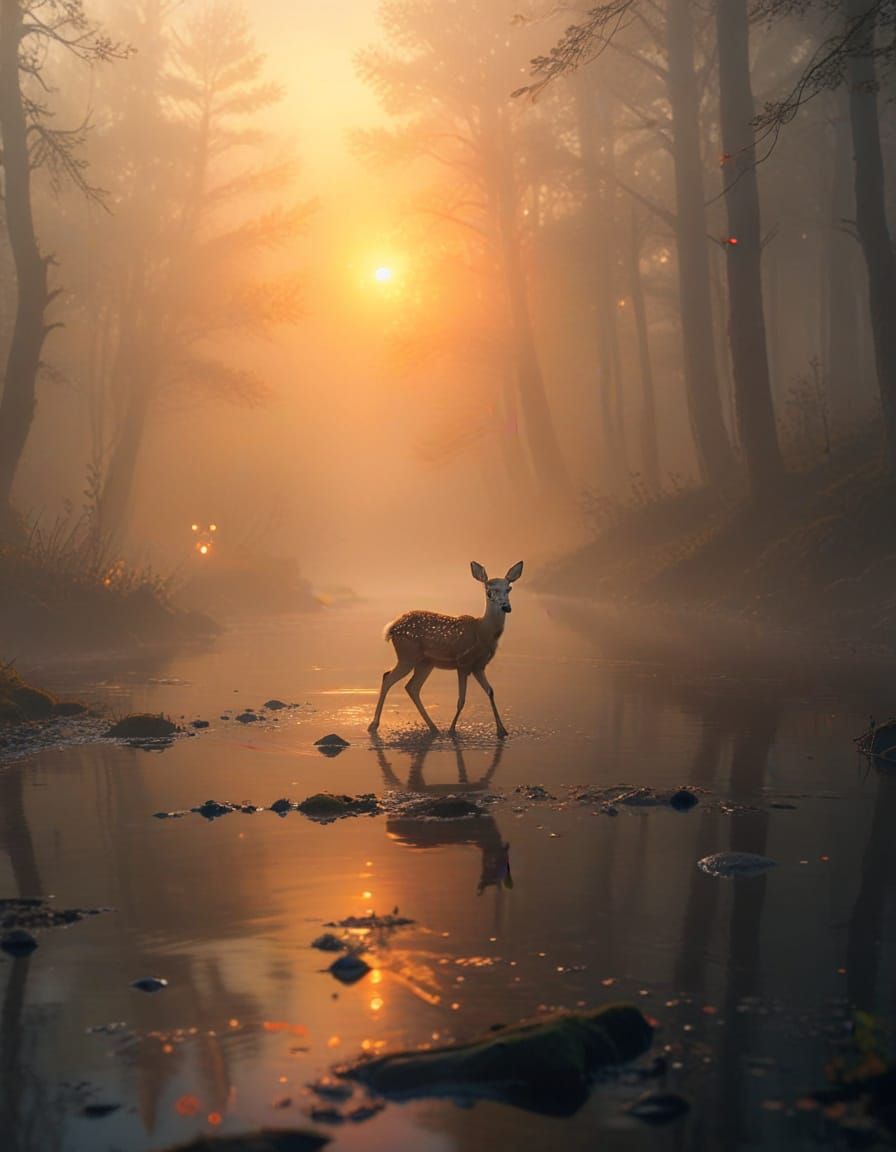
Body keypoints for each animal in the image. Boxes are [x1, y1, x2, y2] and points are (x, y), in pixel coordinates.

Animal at [368, 561, 524, 739]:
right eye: (489, 591)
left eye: (509, 588)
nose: (506, 607)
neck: (482, 632)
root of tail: (391, 628)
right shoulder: (462, 662)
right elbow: (461, 699)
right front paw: (452, 730)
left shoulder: (479, 666)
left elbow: (490, 691)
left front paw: (502, 731)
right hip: (407, 656)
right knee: (388, 678)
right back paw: (373, 725)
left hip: (425, 662)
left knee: (412, 687)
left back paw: (433, 727)